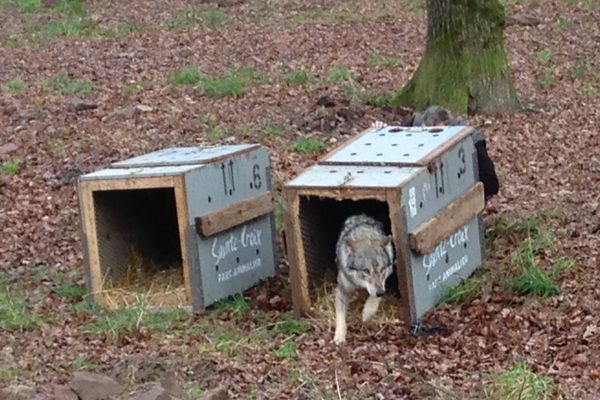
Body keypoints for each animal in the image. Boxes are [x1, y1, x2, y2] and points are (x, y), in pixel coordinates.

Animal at [332, 216, 394, 344]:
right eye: (366, 271)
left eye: (382, 269)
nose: (380, 293)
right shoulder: (342, 289)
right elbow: (340, 315)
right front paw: (339, 336)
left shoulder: (384, 282)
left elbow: (374, 299)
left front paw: (367, 312)